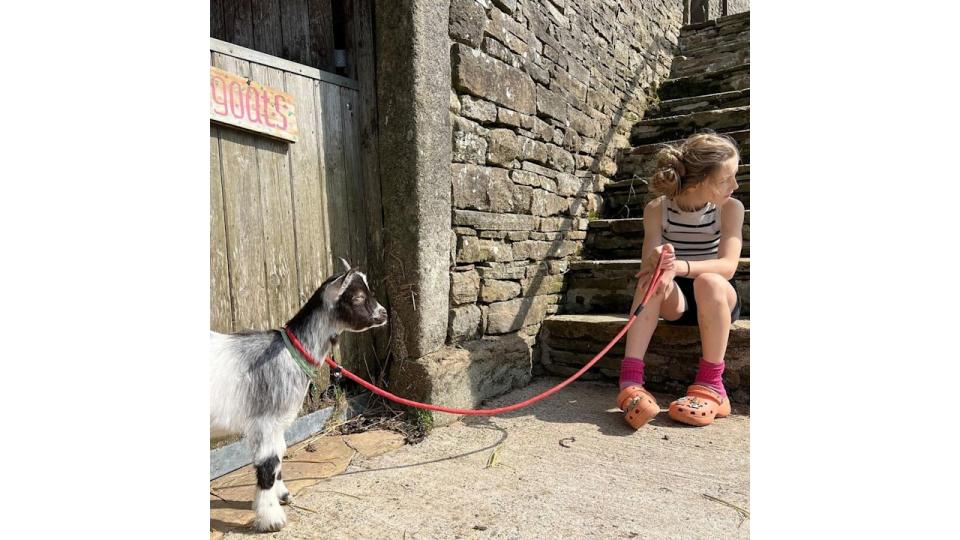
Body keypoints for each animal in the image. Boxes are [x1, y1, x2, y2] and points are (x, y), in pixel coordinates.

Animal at [210, 258, 386, 532]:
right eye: (357, 296)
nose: (384, 314)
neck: (288, 352)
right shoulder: (265, 420)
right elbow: (268, 464)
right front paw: (271, 519)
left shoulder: (278, 423)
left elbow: (279, 455)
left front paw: (282, 495)